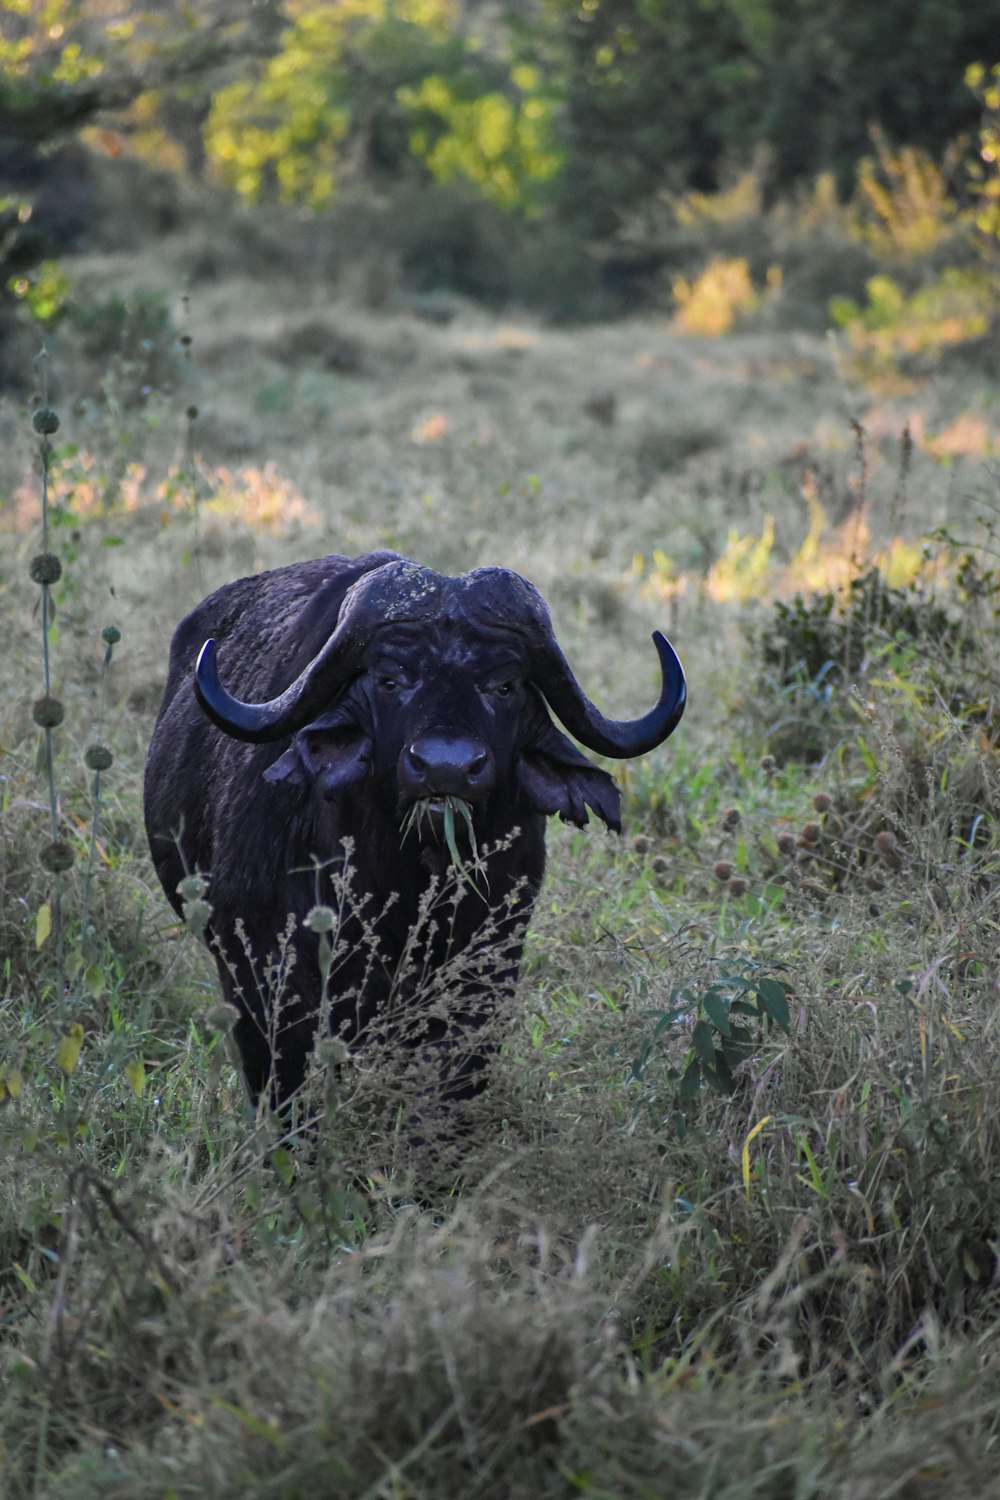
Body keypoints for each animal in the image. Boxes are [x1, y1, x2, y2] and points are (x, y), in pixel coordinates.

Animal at [142, 555, 689, 1116]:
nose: (446, 768)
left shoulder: (486, 971)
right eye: (390, 679)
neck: (404, 882)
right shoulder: (259, 967)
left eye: (505, 685)